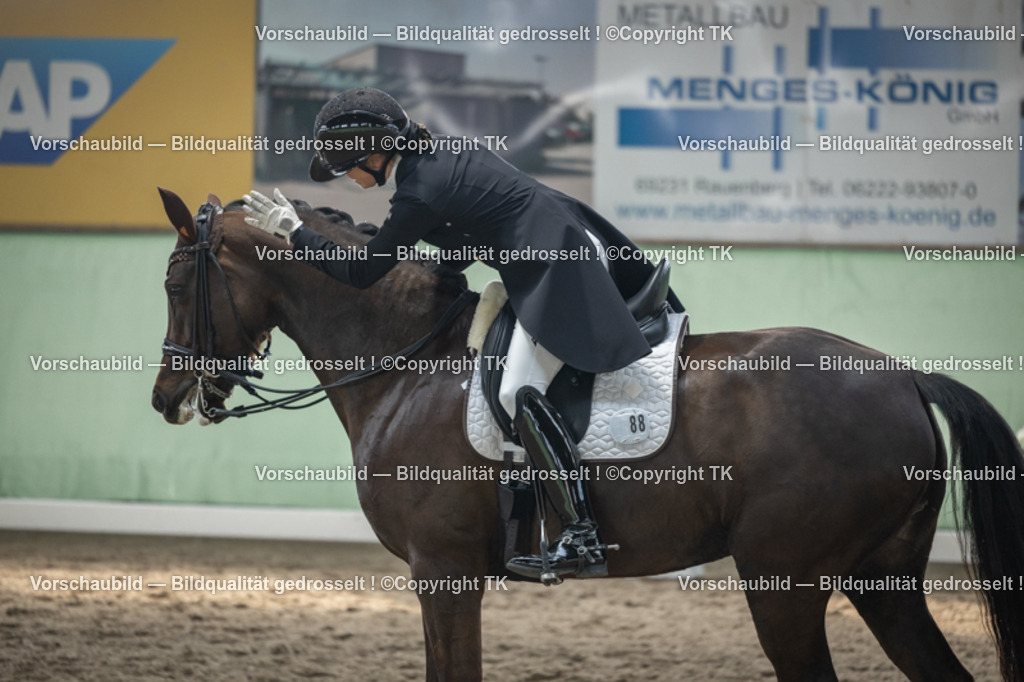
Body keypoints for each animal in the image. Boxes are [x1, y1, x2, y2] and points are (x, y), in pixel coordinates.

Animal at [150, 189, 1024, 682]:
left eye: (175, 282)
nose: (166, 398)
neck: (410, 362)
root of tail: (907, 376)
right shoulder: (443, 576)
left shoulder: (444, 572)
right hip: (882, 579)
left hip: (787, 582)